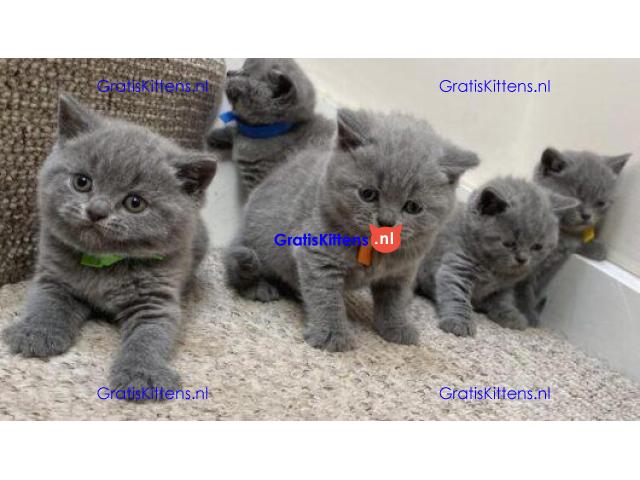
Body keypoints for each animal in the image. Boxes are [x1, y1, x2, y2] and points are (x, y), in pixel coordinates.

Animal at [2, 94, 217, 398]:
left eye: (135, 203)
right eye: (82, 182)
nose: (96, 211)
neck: (102, 264)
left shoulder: (156, 300)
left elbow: (149, 337)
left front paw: (142, 374)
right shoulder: (53, 278)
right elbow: (46, 304)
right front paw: (36, 334)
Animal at [224, 108, 479, 351]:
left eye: (413, 207)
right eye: (368, 194)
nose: (386, 221)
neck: (372, 252)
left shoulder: (402, 271)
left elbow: (394, 301)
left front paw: (396, 327)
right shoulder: (317, 255)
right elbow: (326, 298)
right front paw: (331, 334)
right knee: (237, 268)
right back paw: (259, 287)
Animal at [415, 176, 578, 337]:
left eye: (537, 247)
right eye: (509, 244)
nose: (522, 259)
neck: (494, 270)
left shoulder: (504, 286)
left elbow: (504, 299)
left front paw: (510, 314)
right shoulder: (456, 267)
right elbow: (456, 294)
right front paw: (459, 322)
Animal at [514, 148, 631, 325]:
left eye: (600, 203)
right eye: (577, 198)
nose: (587, 215)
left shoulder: (553, 264)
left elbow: (538, 287)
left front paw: (595, 247)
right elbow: (523, 288)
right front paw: (528, 314)